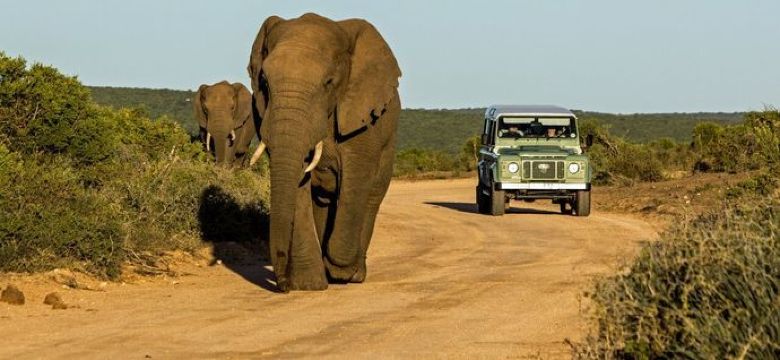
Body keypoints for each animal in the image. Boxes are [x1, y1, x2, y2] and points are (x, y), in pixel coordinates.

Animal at [245, 13, 402, 292]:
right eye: (264, 82)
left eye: (328, 83)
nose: (282, 284)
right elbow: (298, 186)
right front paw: (308, 284)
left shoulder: (362, 119)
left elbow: (356, 179)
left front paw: (340, 270)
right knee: (323, 201)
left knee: (371, 196)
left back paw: (354, 274)